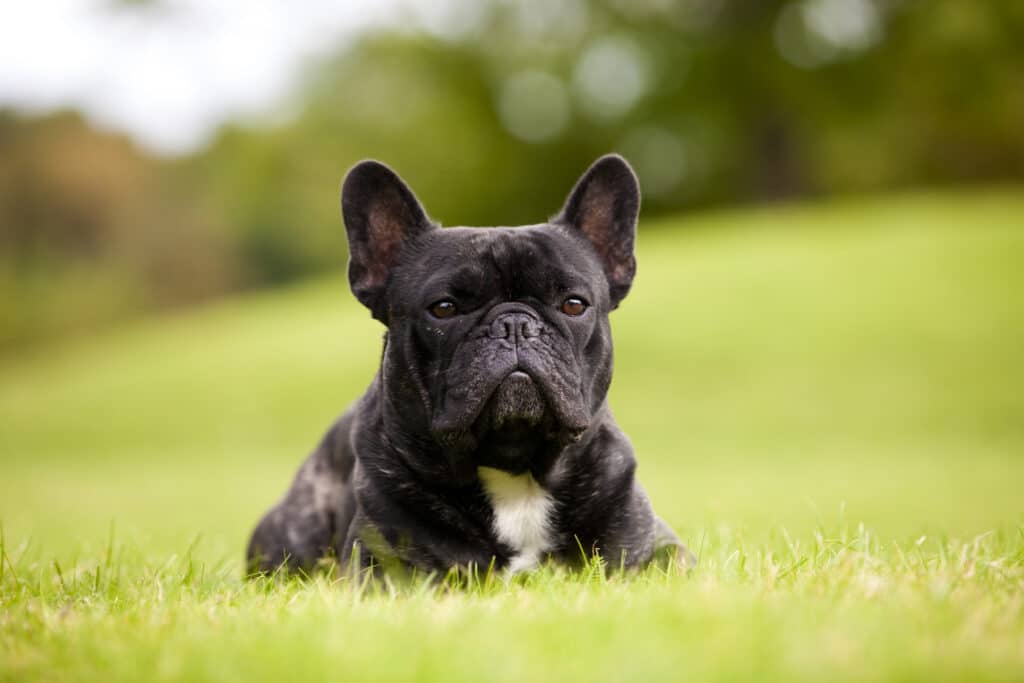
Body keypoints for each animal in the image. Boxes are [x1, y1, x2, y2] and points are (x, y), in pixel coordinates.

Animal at [246, 154, 688, 577]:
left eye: (574, 304)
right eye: (444, 308)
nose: (514, 324)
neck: (514, 468)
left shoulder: (652, 545)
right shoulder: (381, 565)